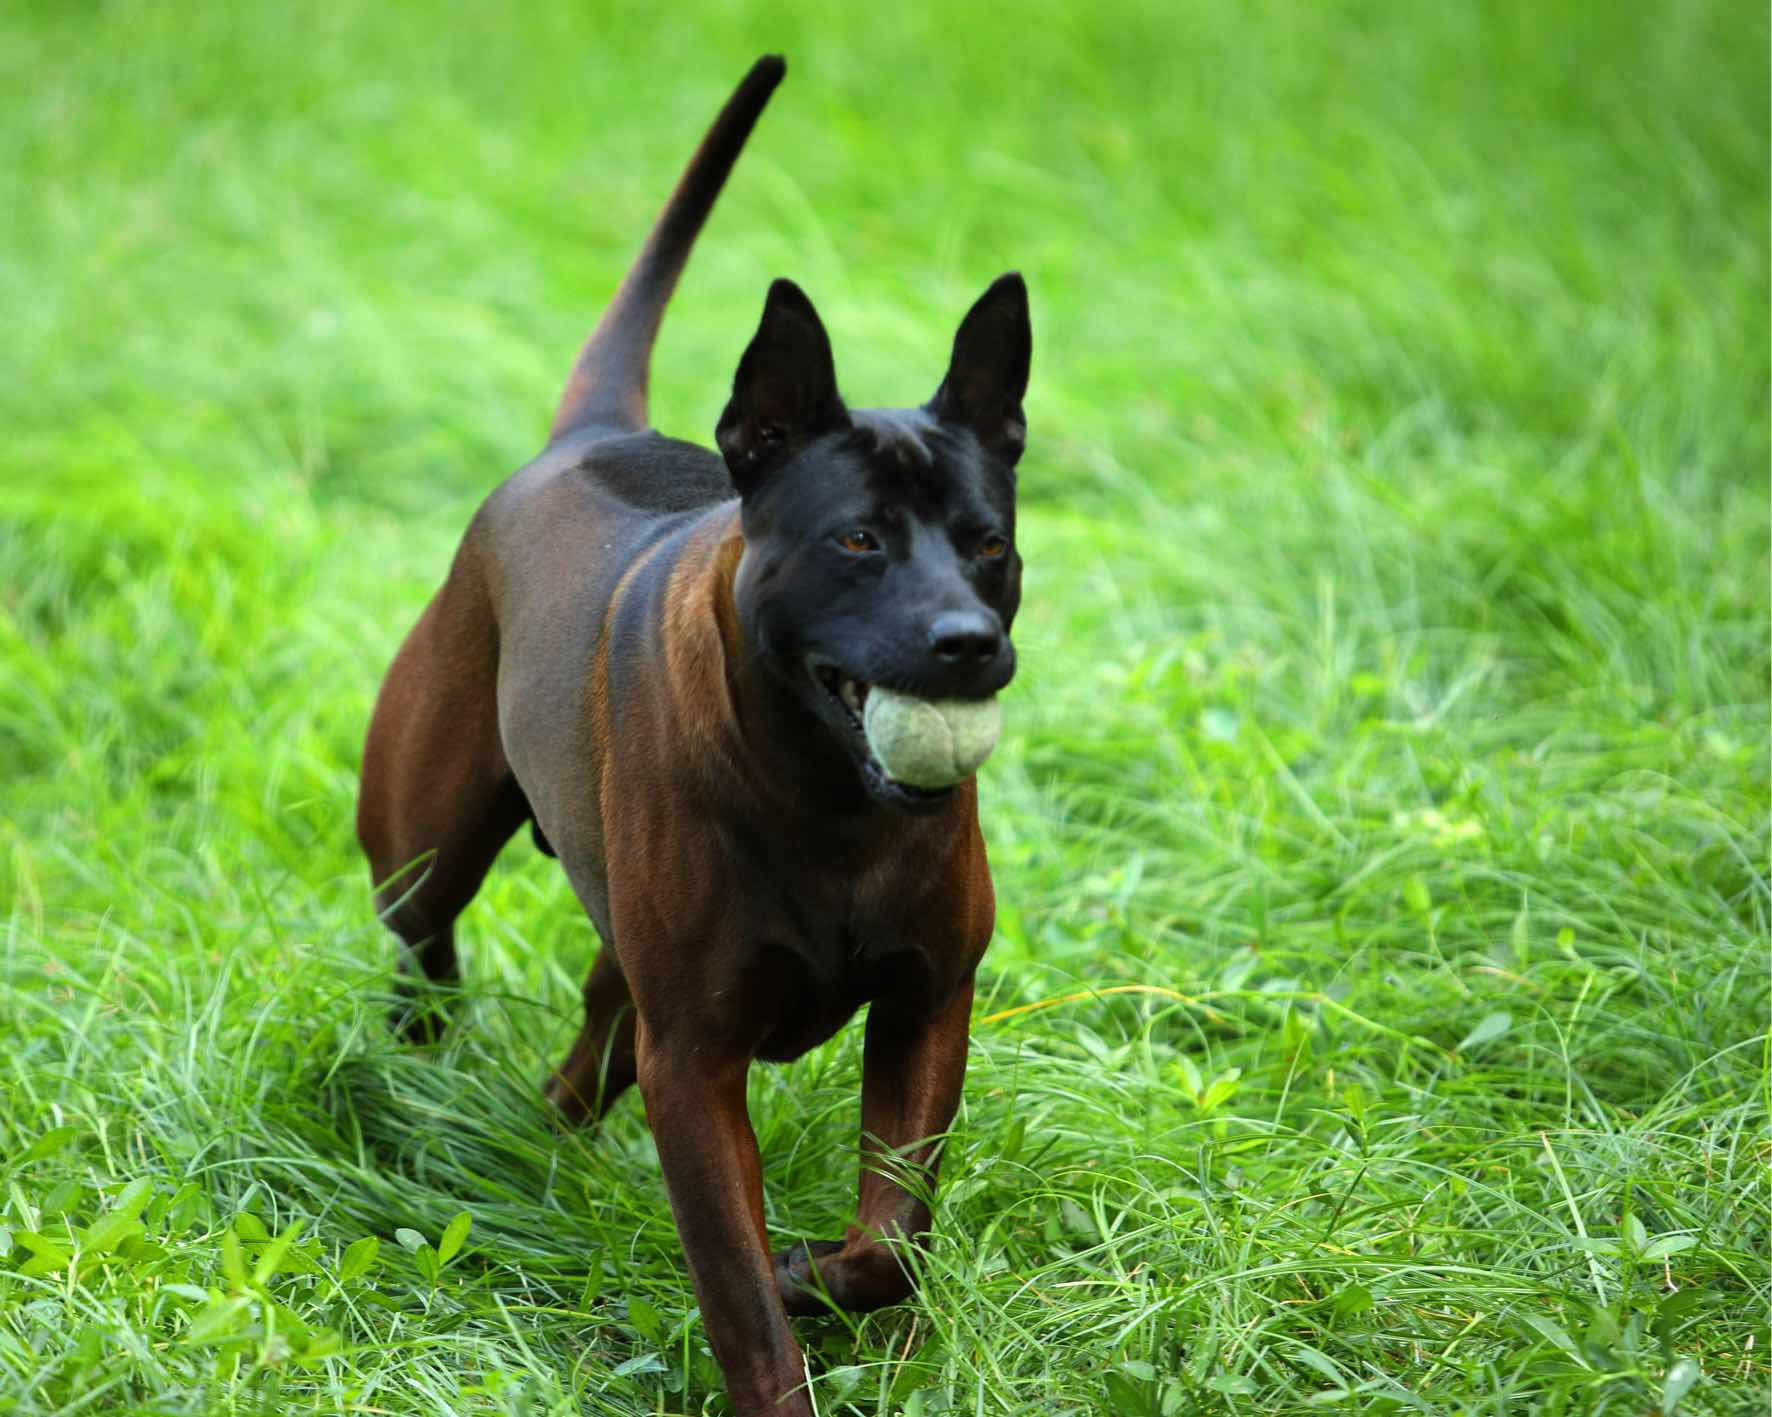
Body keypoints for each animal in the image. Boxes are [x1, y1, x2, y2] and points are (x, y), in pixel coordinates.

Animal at [354, 55, 1034, 1417]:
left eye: (988, 542)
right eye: (857, 538)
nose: (965, 644)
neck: (826, 800)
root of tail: (589, 436)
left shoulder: (926, 1003)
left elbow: (889, 1239)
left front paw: (815, 1270)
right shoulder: (697, 1068)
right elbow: (735, 1291)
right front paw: (774, 1318)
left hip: (624, 968)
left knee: (585, 1053)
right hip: (423, 838)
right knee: (424, 937)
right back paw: (421, 1061)